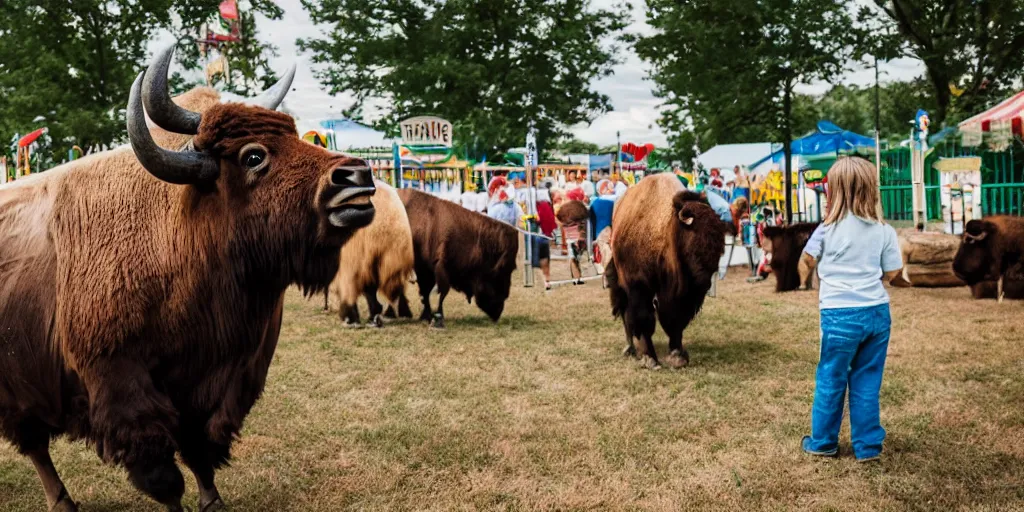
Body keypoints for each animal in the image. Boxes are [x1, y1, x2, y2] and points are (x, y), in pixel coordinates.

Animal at [0, 46, 378, 509]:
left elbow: (200, 450)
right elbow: (163, 474)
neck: (181, 232)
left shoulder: (217, 382)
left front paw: (213, 500)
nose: (356, 176)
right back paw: (63, 501)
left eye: (294, 134)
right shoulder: (123, 388)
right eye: (254, 156)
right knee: (35, 445)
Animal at [393, 188, 520, 327]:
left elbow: (427, 293)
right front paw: (436, 318)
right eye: (502, 270)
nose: (498, 312)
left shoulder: (428, 270)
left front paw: (427, 316)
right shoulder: (438, 268)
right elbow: (439, 293)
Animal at [606, 174, 729, 370]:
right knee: (625, 312)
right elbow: (644, 318)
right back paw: (631, 349)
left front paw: (677, 356)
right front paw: (651, 359)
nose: (705, 283)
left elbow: (675, 321)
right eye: (696, 241)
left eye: (720, 247)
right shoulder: (639, 286)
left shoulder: (680, 294)